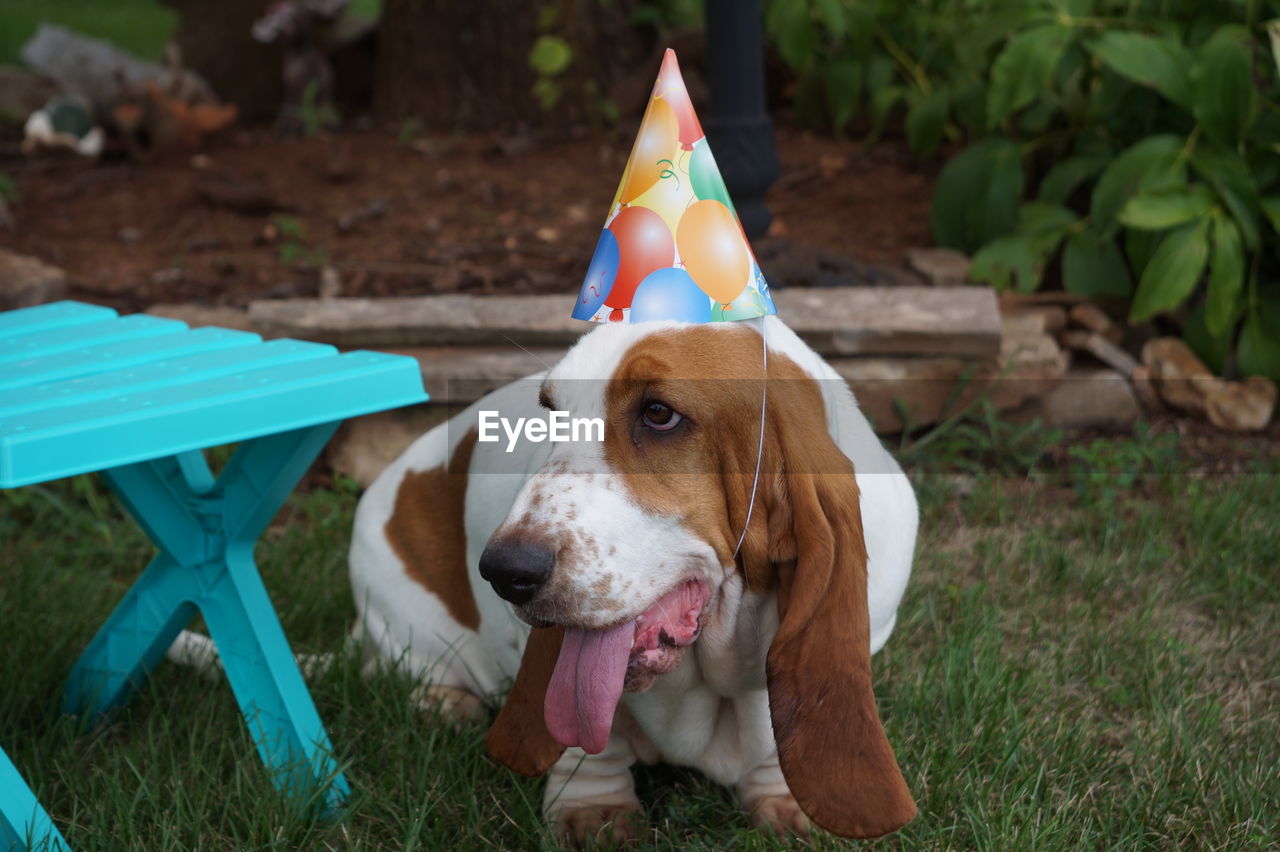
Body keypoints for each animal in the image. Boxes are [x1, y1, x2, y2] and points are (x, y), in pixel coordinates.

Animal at [348, 313, 921, 844]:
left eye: (659, 414)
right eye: (550, 411)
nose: (504, 570)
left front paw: (782, 800)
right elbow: (582, 736)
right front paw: (592, 810)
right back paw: (444, 703)